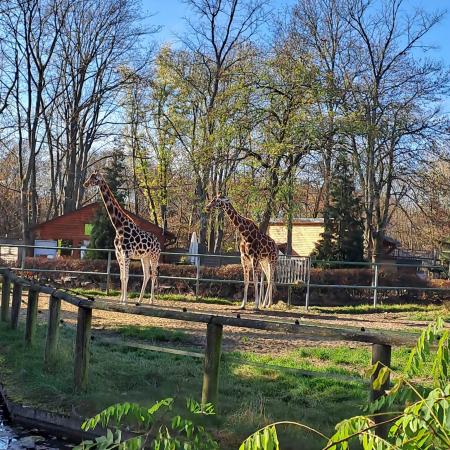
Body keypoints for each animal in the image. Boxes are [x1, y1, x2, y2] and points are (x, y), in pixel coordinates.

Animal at [84, 171, 162, 304]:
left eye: (94, 178)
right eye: (90, 176)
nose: (85, 184)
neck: (118, 226)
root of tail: (159, 243)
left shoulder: (126, 254)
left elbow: (126, 277)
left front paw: (125, 301)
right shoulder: (118, 253)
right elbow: (121, 277)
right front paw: (121, 299)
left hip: (154, 256)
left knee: (154, 274)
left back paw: (151, 301)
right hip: (144, 257)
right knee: (146, 275)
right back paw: (139, 300)